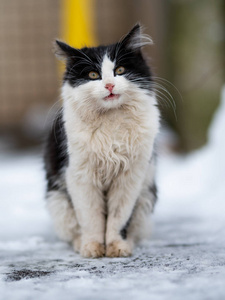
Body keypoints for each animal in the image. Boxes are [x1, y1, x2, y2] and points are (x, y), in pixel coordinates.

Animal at [44, 24, 160, 258]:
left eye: (120, 71)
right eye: (93, 75)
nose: (109, 85)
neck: (111, 122)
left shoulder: (130, 178)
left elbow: (118, 218)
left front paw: (116, 247)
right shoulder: (81, 176)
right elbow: (91, 218)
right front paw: (93, 248)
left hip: (146, 199)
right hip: (58, 201)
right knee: (73, 230)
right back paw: (80, 244)